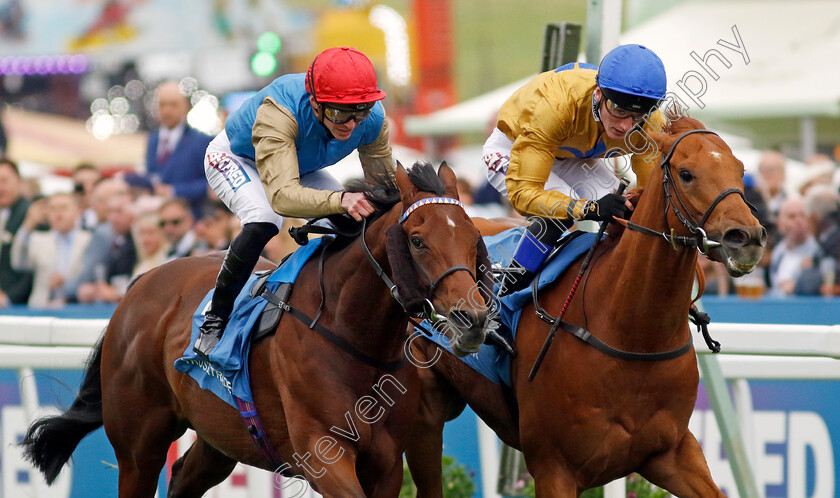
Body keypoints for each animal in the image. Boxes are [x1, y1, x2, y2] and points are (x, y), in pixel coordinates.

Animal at [19, 161, 492, 496]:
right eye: (417, 240)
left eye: (474, 239)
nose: (473, 319)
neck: (352, 335)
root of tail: (140, 284)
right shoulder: (325, 454)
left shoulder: (387, 463)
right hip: (139, 445)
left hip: (220, 435)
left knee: (184, 477)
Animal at [406, 115, 768, 494]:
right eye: (686, 173)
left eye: (740, 169)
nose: (747, 237)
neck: (632, 335)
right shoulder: (553, 468)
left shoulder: (672, 453)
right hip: (425, 414)